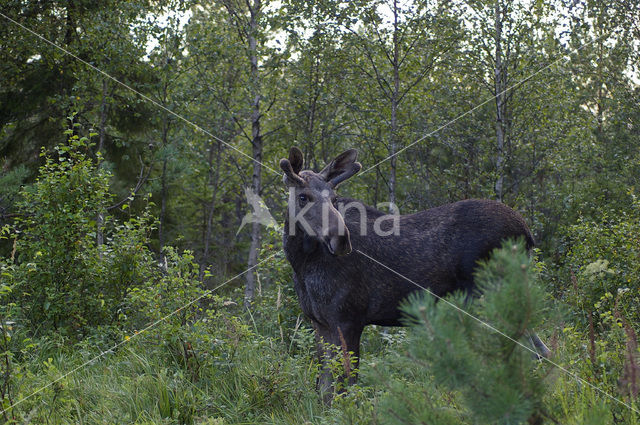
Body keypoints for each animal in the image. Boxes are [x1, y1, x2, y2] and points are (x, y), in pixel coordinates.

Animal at [280, 146, 552, 400]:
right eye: (303, 196)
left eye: (335, 198)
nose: (341, 239)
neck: (302, 265)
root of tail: (528, 234)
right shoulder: (319, 322)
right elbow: (325, 387)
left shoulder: (348, 318)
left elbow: (346, 384)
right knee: (540, 350)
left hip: (489, 294)